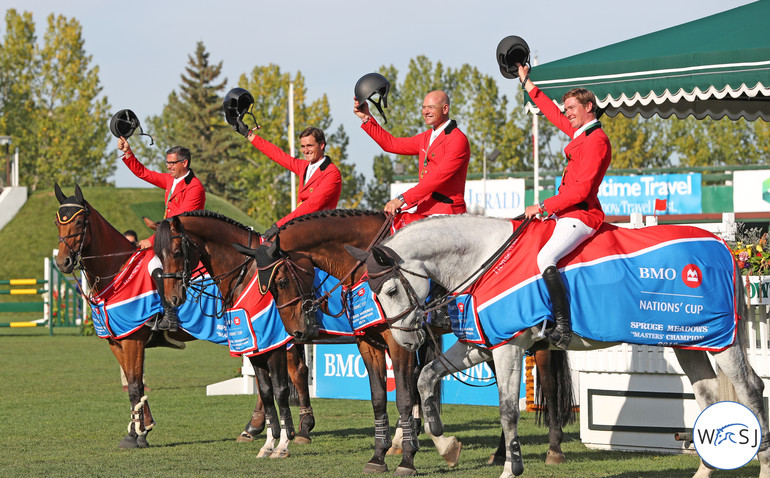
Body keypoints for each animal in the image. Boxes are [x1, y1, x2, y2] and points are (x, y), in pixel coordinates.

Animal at [52, 185, 310, 454]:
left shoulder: (133, 340)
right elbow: (136, 384)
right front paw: (143, 428)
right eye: (58, 222)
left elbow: (134, 386)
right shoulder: (117, 342)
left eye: (79, 221)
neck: (118, 273)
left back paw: (299, 429)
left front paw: (136, 435)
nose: (63, 262)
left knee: (295, 372)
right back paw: (255, 428)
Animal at [231, 212, 572, 474]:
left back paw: (552, 449)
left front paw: (408, 458)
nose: (298, 332)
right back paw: (501, 454)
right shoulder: (368, 345)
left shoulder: (402, 344)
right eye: (266, 287)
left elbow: (406, 399)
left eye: (281, 281)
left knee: (548, 386)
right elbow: (379, 398)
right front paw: (380, 455)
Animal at [352, 214, 768, 478]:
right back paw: (704, 471)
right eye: (374, 293)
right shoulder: (483, 344)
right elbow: (426, 376)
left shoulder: (508, 347)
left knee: (750, 389)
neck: (487, 259)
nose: (406, 339)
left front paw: (511, 467)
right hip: (690, 342)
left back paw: (762, 465)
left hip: (722, 341)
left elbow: (507, 410)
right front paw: (444, 443)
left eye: (391, 290)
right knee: (708, 394)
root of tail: (724, 246)